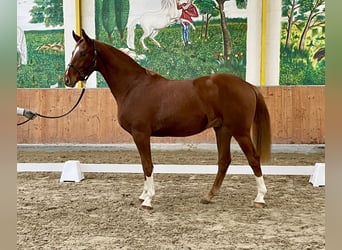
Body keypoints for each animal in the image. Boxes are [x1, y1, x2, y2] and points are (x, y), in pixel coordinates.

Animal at [64, 29, 272, 209]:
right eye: (73, 51)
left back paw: (260, 197)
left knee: (253, 159)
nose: (68, 79)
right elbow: (143, 165)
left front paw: (148, 199)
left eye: (83, 53)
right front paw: (144, 195)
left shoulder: (141, 134)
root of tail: (248, 85)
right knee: (224, 161)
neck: (133, 86)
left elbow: (147, 165)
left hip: (240, 131)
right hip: (222, 129)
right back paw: (208, 196)